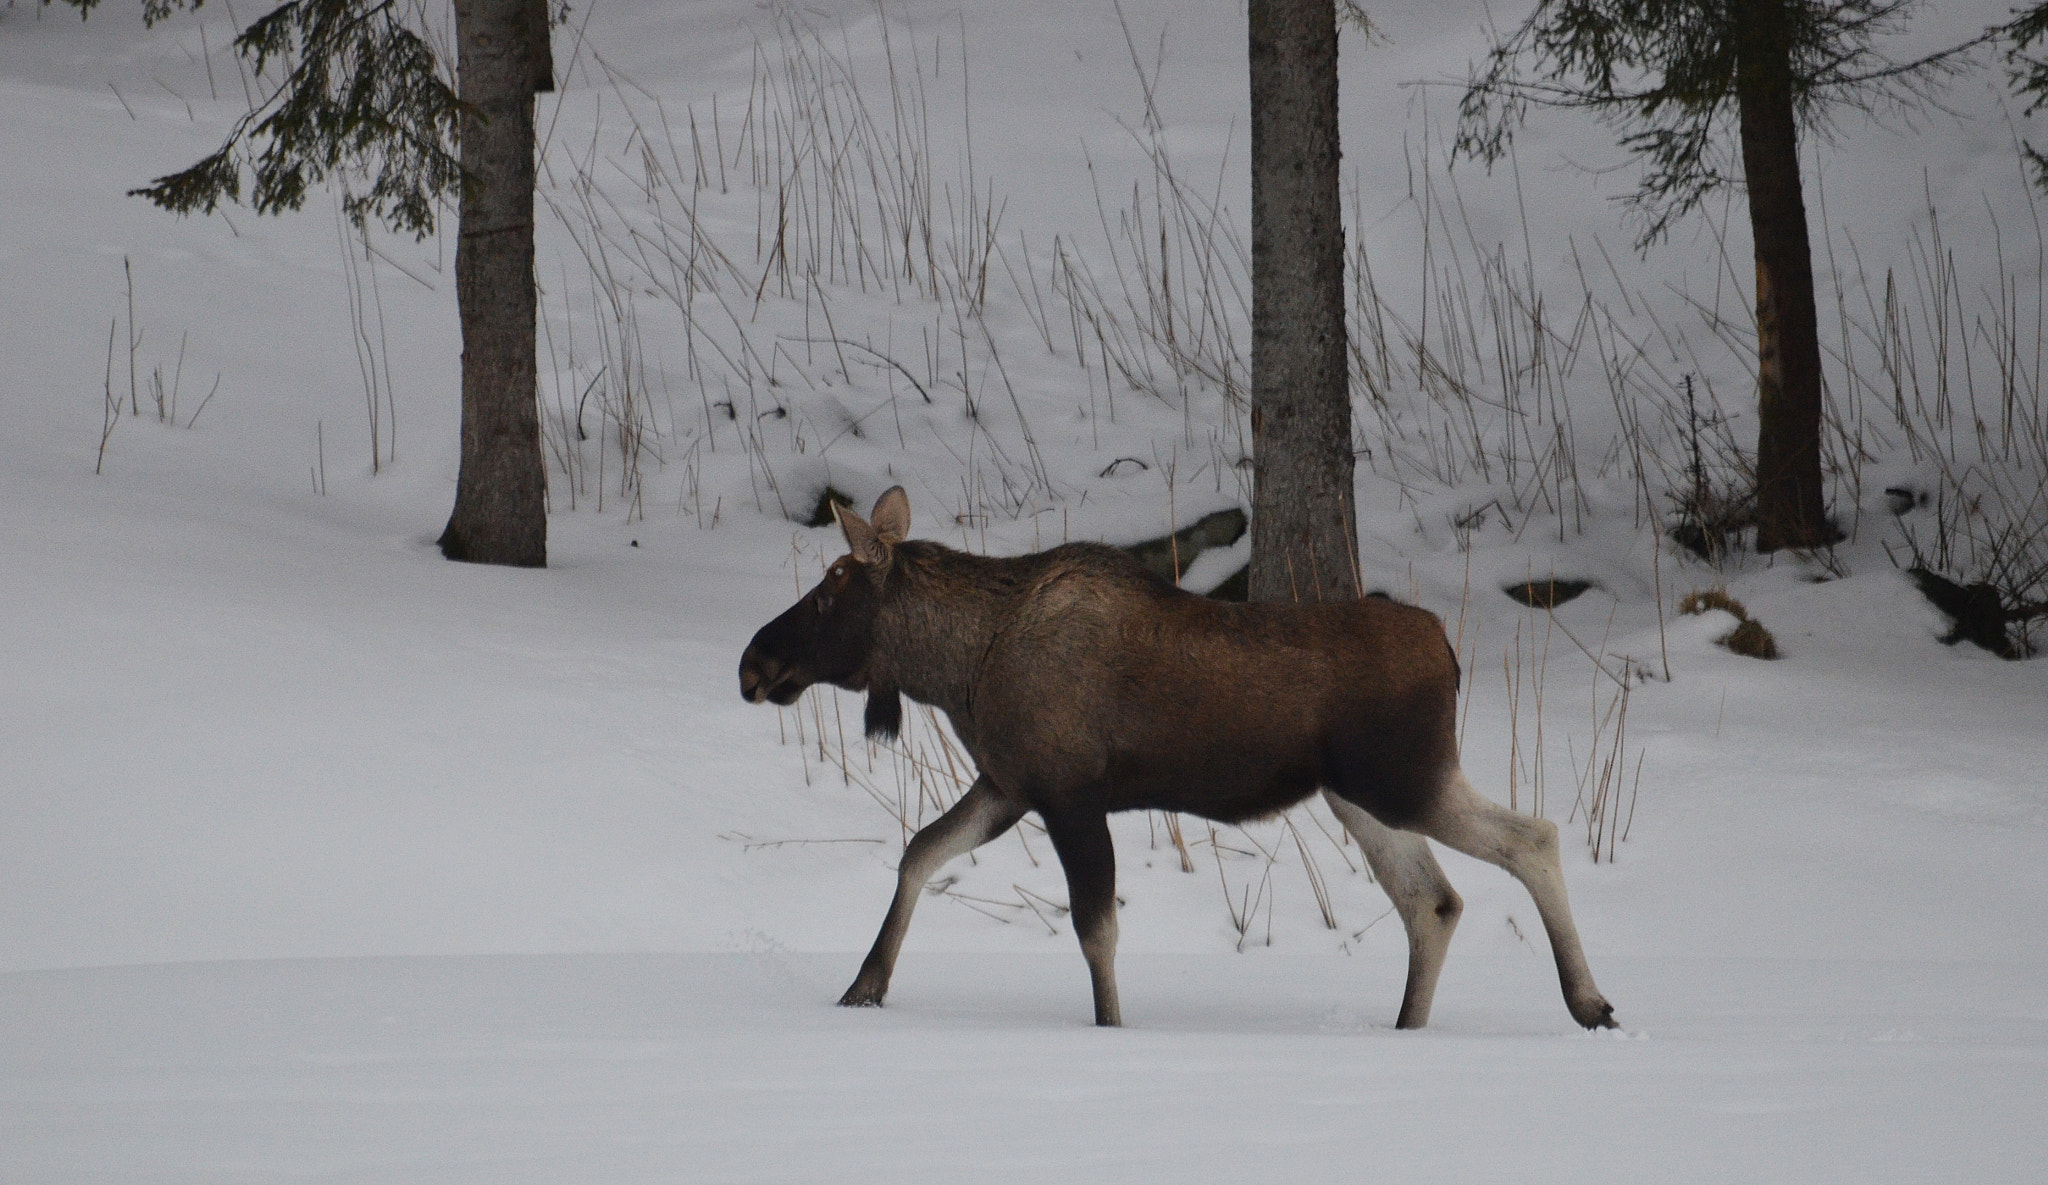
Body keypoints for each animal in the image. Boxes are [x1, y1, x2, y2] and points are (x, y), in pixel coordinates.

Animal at [737, 489, 1613, 1027]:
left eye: (829, 591)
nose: (752, 662)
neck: (958, 666)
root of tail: (1447, 649)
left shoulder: (1067, 793)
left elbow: (1096, 930)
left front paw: (1112, 1024)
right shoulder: (1009, 784)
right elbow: (919, 851)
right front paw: (864, 987)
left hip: (1403, 778)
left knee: (1532, 835)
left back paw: (1590, 1001)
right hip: (1357, 796)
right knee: (1433, 900)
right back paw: (1408, 1026)